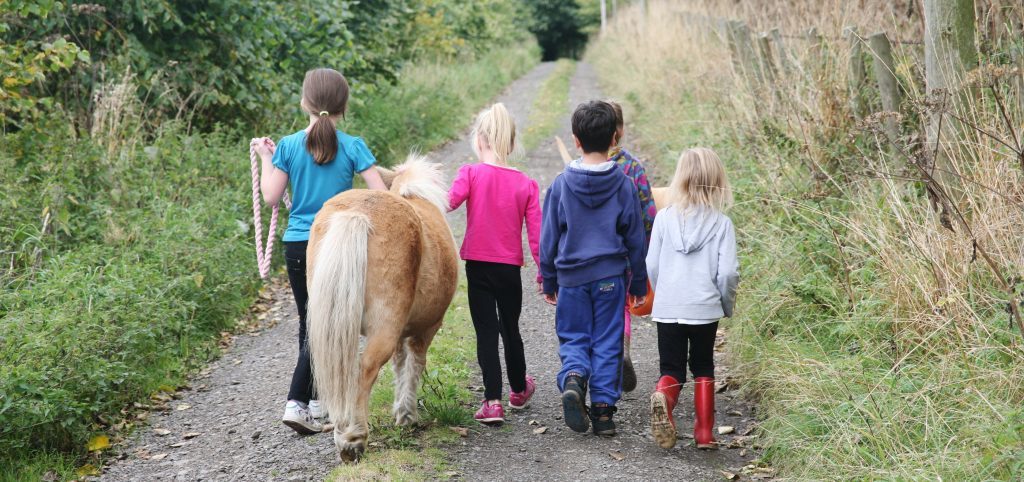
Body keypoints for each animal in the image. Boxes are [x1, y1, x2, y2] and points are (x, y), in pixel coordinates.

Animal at [305, 155, 458, 464]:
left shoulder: (401, 332)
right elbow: (414, 364)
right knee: (364, 370)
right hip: (383, 329)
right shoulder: (427, 328)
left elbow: (400, 364)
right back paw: (352, 439)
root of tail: (356, 214)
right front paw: (407, 414)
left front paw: (401, 411)